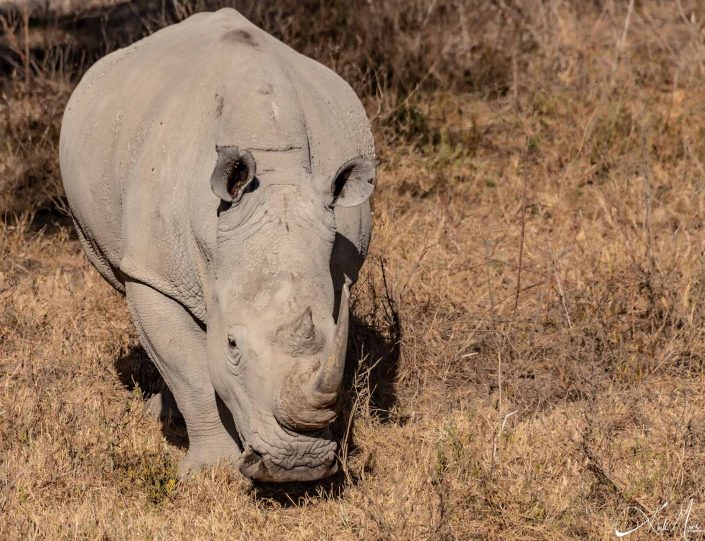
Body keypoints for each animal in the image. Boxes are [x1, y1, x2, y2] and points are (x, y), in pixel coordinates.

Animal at [60, 7, 376, 480]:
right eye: (232, 347)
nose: (296, 465)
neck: (278, 174)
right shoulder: (154, 273)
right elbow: (189, 369)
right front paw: (208, 471)